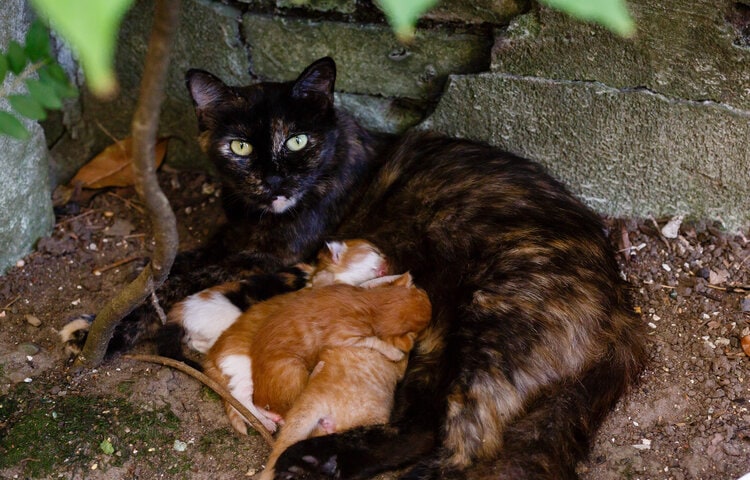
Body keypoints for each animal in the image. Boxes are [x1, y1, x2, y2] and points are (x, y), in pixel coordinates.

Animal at [206, 274, 432, 436]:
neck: (367, 304)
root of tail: (212, 352)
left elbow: (368, 282)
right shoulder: (344, 335)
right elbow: (373, 341)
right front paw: (394, 352)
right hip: (258, 367)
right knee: (244, 399)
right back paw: (268, 421)